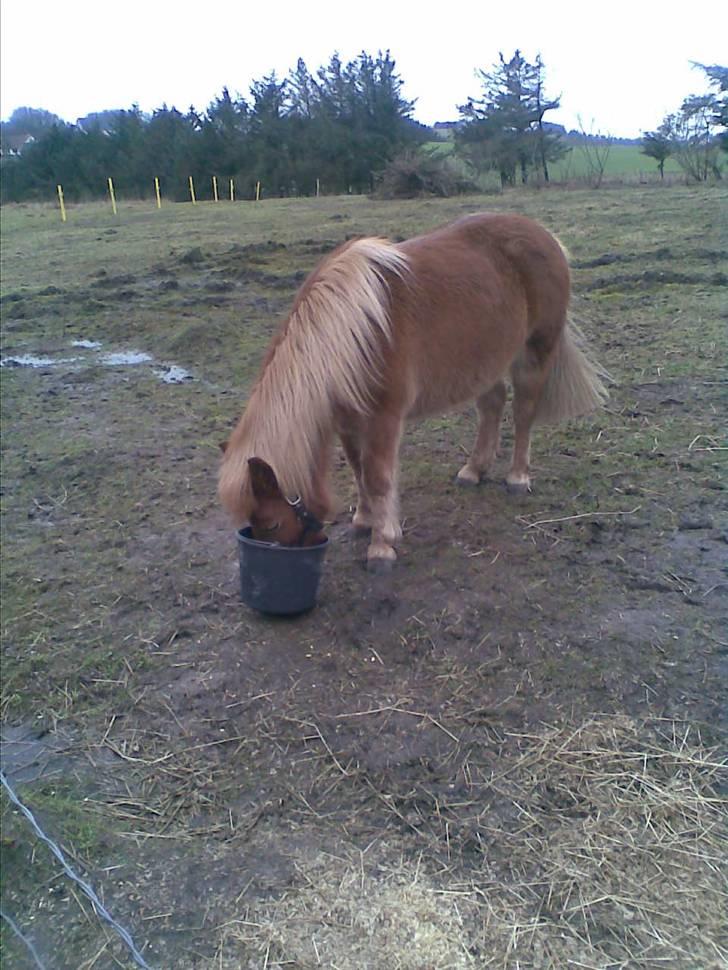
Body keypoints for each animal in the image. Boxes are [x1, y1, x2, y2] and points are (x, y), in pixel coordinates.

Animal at [219, 214, 604, 568]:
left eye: (271, 523)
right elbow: (358, 470)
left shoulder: (384, 418)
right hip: (484, 361)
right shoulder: (347, 420)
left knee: (524, 412)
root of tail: (544, 234)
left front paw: (382, 545)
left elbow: (377, 477)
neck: (351, 335)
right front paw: (364, 520)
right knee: (492, 405)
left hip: (535, 351)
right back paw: (473, 471)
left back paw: (517, 478)